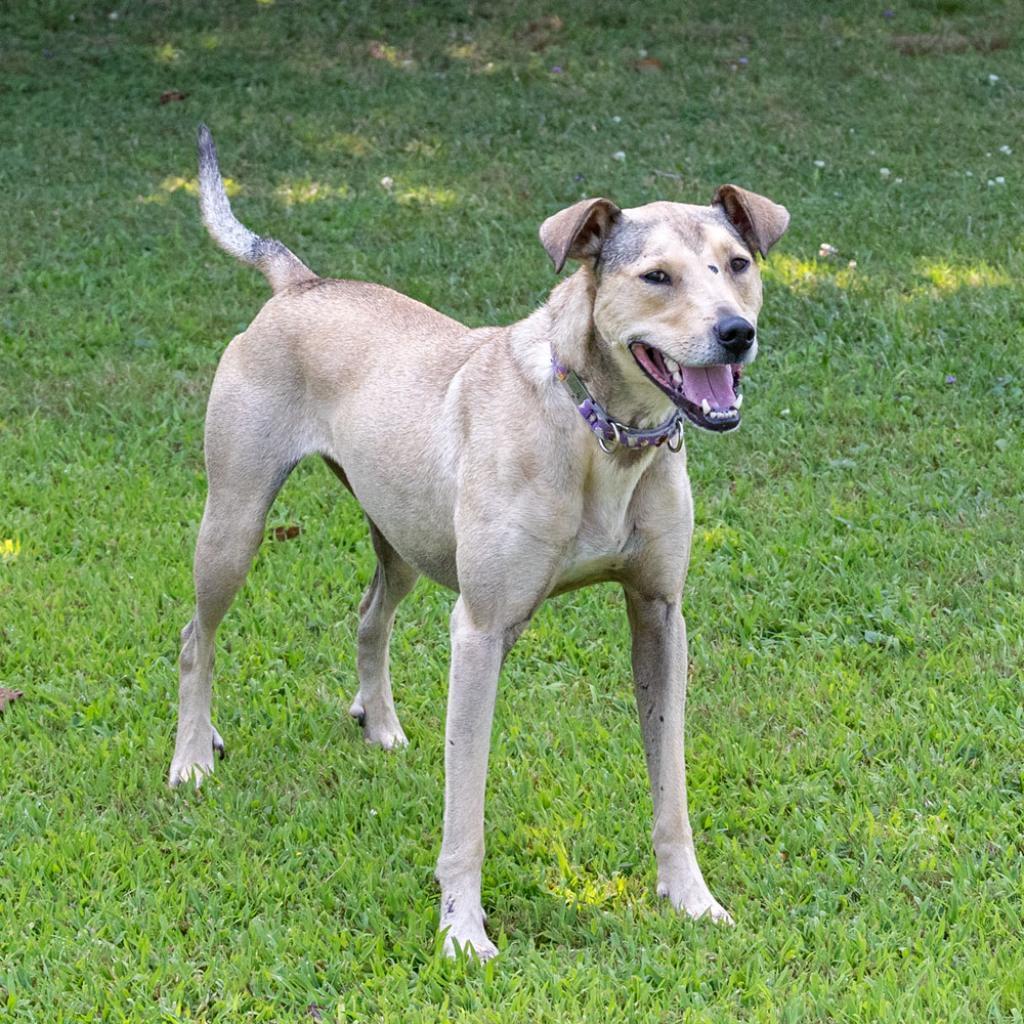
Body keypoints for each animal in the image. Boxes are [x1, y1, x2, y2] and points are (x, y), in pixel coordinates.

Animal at [169, 121, 790, 958]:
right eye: (657, 276)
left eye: (739, 264)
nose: (736, 332)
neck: (601, 434)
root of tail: (301, 284)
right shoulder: (481, 630)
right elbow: (465, 810)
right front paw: (462, 930)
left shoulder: (659, 616)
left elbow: (672, 788)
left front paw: (691, 900)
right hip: (234, 523)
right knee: (196, 638)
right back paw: (192, 755)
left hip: (404, 538)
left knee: (370, 615)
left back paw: (381, 722)